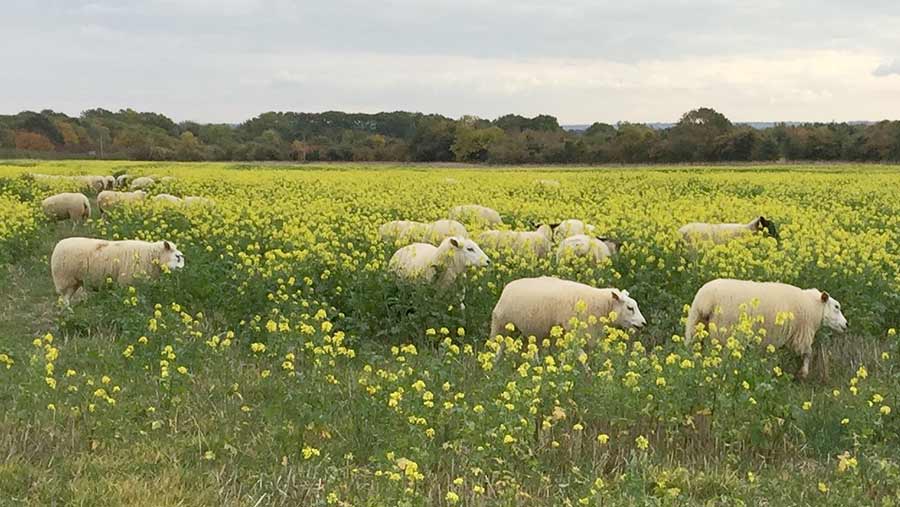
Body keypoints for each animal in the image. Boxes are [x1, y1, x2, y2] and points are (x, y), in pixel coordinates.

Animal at [50, 237, 185, 305]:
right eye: (177, 256)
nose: (182, 270)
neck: (151, 256)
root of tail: (58, 244)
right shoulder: (127, 282)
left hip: (75, 281)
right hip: (65, 279)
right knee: (64, 299)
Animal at [490, 276, 646, 339]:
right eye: (630, 308)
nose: (644, 323)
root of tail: (508, 286)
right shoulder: (574, 331)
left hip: (532, 330)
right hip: (500, 325)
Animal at [684, 278, 848, 378]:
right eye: (836, 307)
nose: (846, 324)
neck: (813, 306)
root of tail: (706, 301)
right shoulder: (801, 334)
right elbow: (807, 353)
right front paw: (803, 373)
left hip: (695, 326)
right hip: (724, 332)